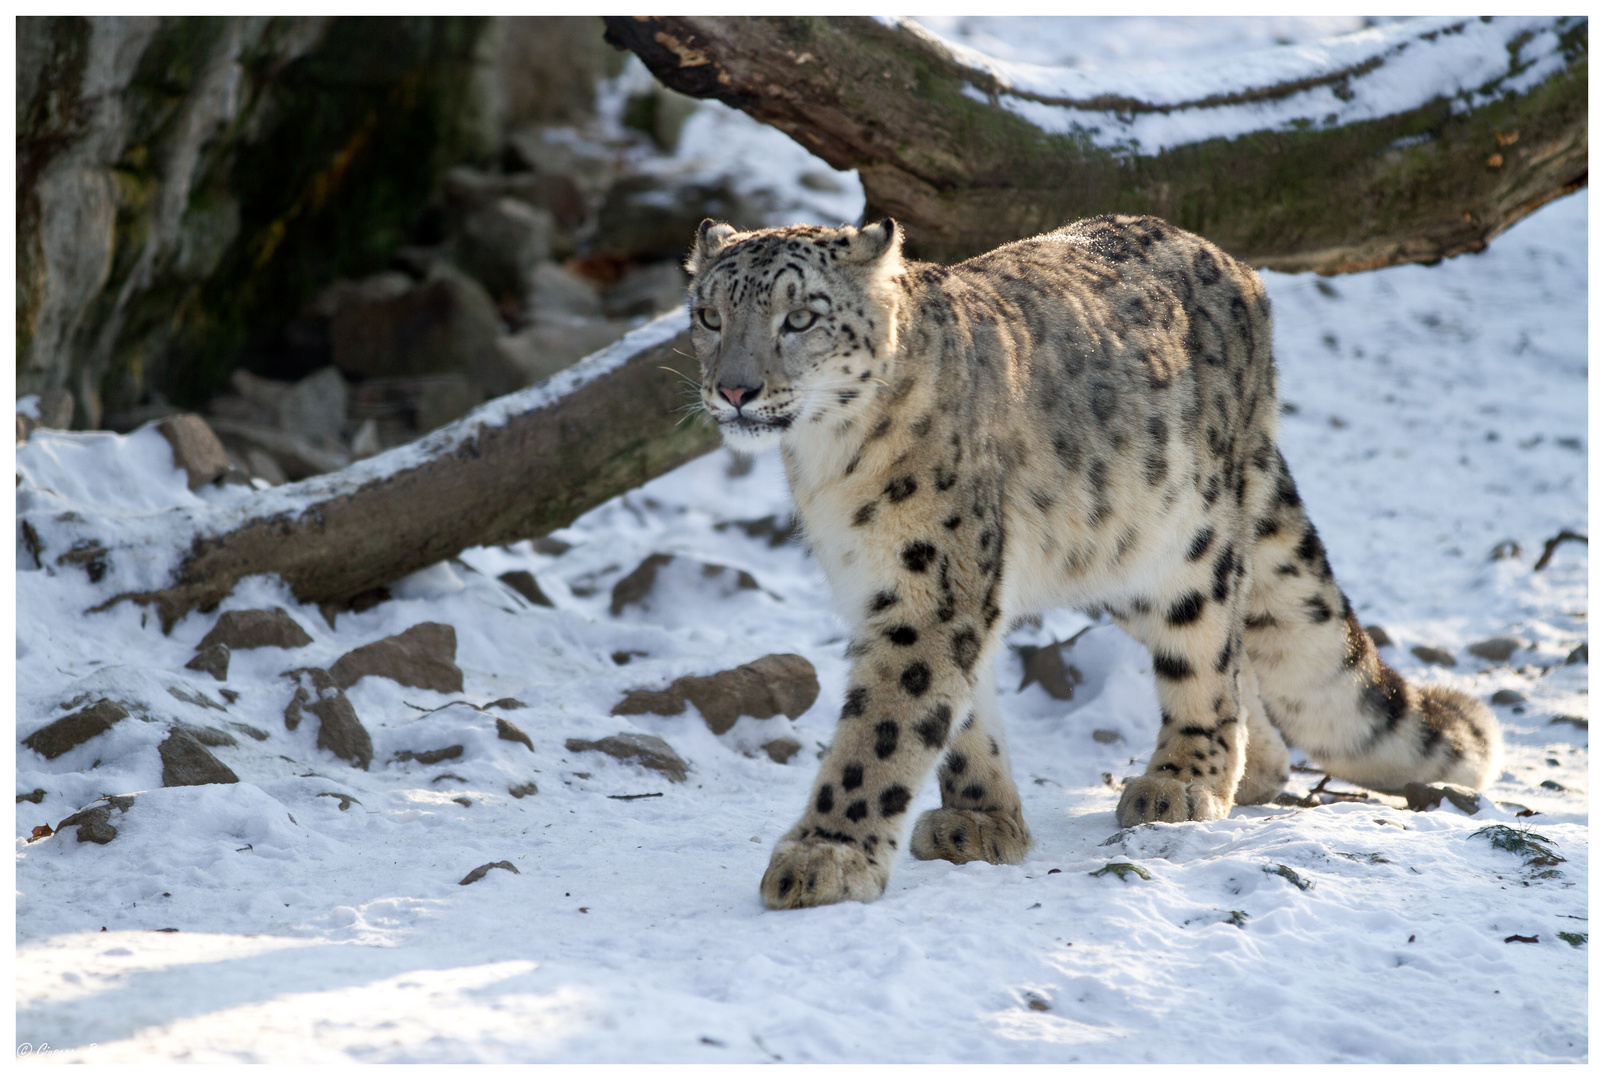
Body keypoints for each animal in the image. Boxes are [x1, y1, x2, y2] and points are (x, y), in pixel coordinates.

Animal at [686, 215, 1501, 905]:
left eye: (801, 318)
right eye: (708, 316)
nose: (734, 389)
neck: (829, 465)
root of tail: (1235, 265)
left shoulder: (934, 587)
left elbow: (883, 728)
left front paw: (825, 856)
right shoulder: (886, 586)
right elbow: (962, 712)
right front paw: (981, 820)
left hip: (1186, 544)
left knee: (1207, 653)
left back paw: (1184, 781)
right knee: (1242, 661)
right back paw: (1254, 772)